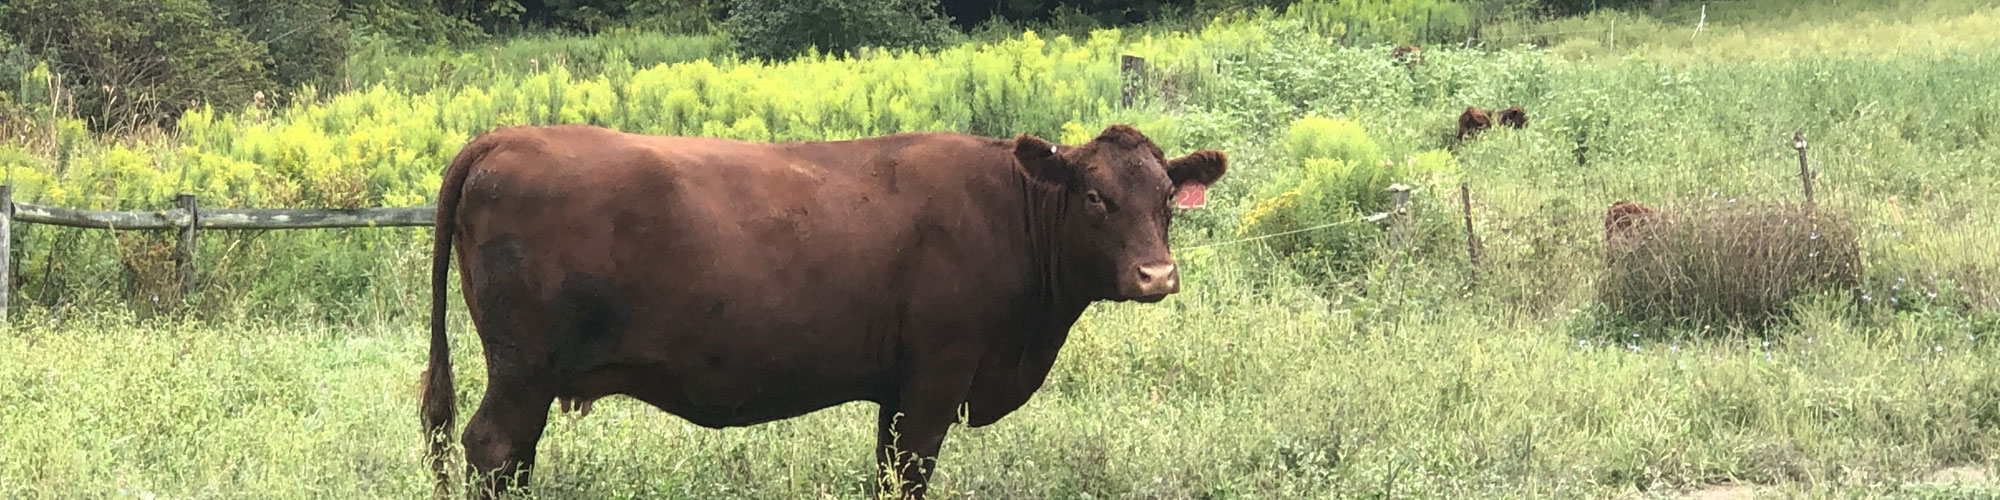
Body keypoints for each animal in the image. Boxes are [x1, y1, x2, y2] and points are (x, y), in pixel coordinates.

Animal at [422, 123, 1224, 498]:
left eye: (1166, 198)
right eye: (1095, 197)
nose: (1158, 275)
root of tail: (506, 136)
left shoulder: (898, 389)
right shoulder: (935, 379)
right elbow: (908, 472)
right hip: (523, 368)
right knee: (493, 447)